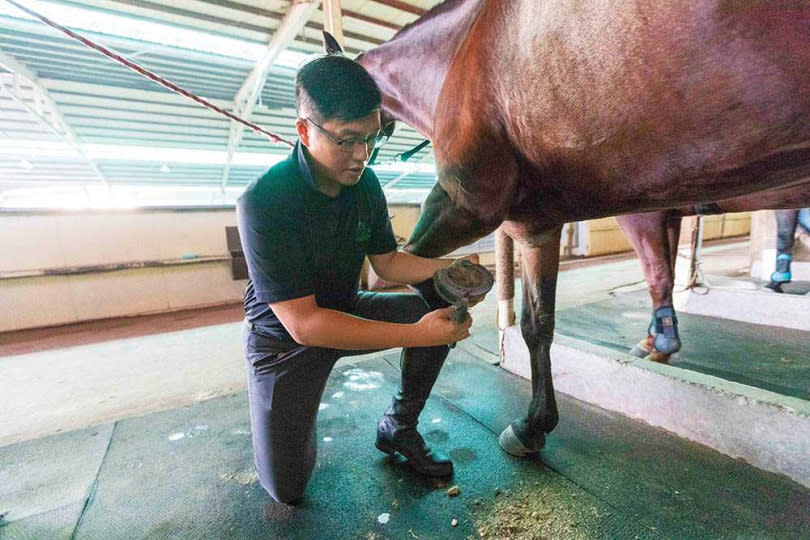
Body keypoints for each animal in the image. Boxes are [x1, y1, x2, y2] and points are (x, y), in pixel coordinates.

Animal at [612, 181, 808, 362]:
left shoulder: (644, 215)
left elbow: (658, 276)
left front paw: (663, 347)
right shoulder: (670, 216)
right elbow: (669, 271)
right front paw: (651, 341)